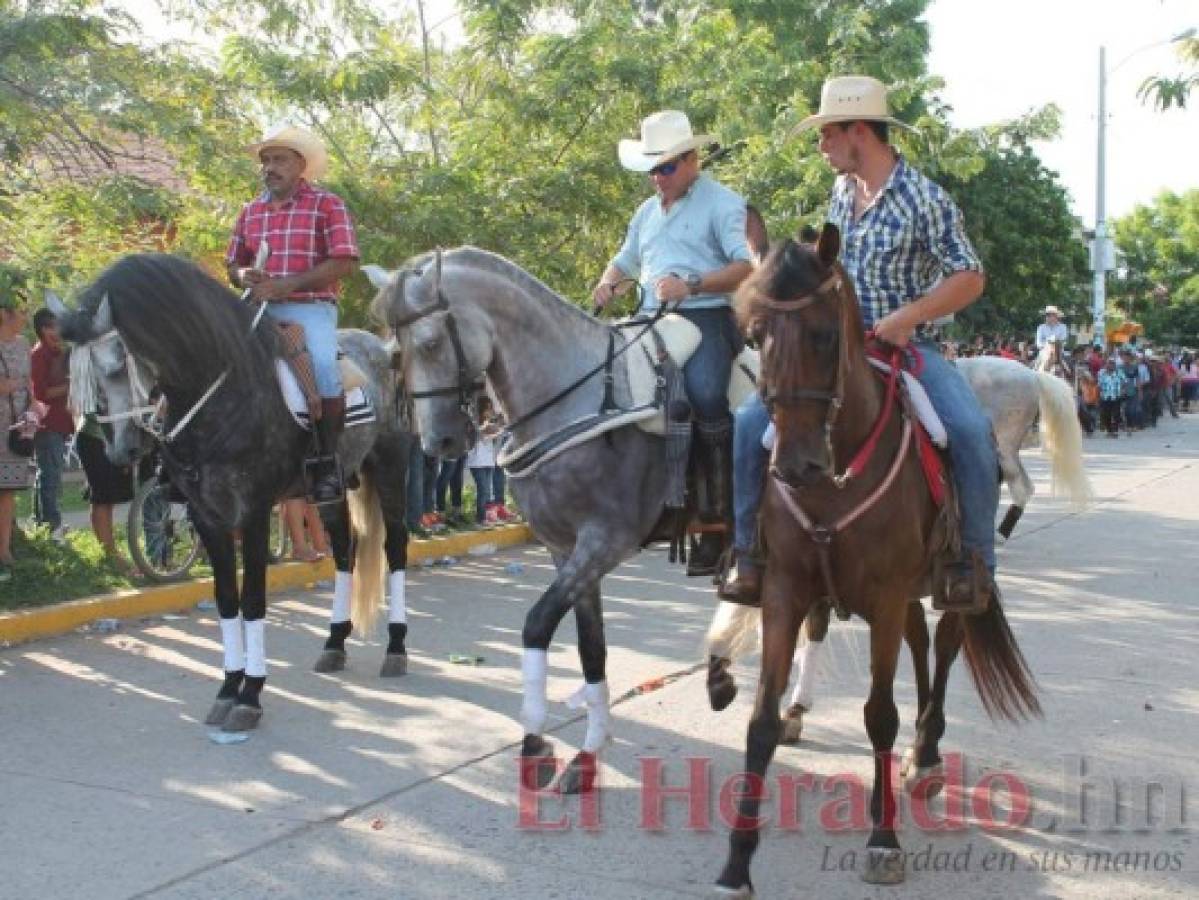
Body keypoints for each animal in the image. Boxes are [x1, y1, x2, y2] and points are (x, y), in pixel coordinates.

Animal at [52, 251, 412, 733]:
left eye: (113, 368)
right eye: (76, 380)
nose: (120, 450)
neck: (222, 394)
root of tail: (381, 349)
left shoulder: (253, 512)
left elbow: (254, 600)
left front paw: (250, 696)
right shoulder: (208, 516)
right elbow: (226, 600)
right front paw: (227, 689)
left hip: (390, 467)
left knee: (395, 548)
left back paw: (396, 649)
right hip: (333, 488)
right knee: (345, 550)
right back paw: (334, 643)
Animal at [709, 225, 1040, 896]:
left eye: (825, 334)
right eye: (753, 336)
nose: (796, 464)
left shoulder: (884, 598)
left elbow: (880, 715)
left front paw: (883, 839)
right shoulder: (785, 593)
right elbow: (761, 720)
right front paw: (736, 861)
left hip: (949, 583)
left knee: (945, 648)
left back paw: (928, 755)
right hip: (904, 594)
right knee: (919, 644)